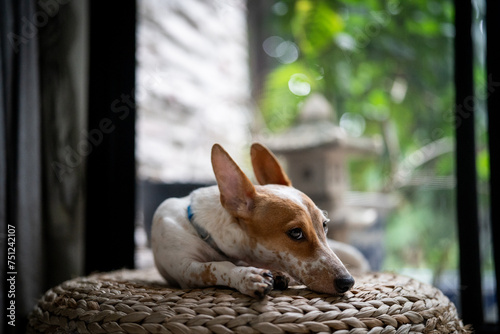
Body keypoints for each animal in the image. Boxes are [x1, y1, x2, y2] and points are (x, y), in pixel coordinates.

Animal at [151, 143, 356, 298]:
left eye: (325, 225)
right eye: (296, 233)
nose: (348, 282)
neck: (205, 230)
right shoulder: (185, 269)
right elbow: (216, 266)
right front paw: (247, 276)